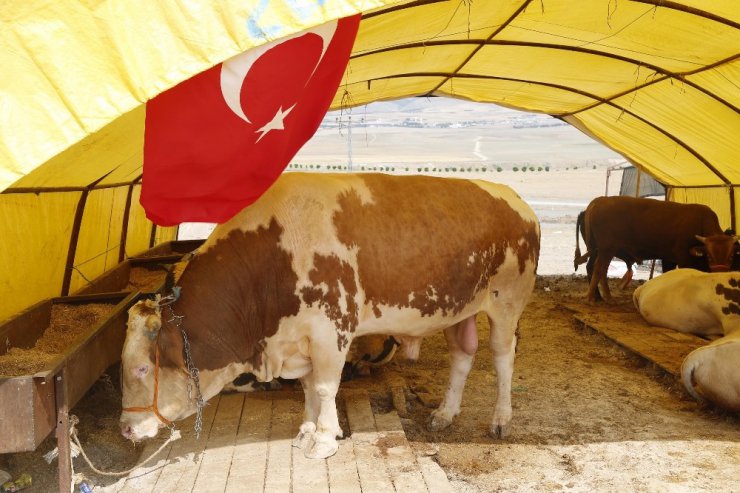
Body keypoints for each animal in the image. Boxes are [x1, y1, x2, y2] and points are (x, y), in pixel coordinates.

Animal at [118, 173, 540, 458]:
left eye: (142, 368)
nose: (125, 429)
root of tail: (517, 199)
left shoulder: (330, 331)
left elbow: (324, 387)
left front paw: (323, 438)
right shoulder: (297, 339)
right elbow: (307, 387)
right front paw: (307, 430)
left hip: (507, 302)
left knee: (502, 357)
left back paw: (501, 419)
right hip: (458, 309)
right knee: (462, 356)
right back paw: (445, 413)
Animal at [576, 194, 736, 302]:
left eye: (731, 256)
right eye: (709, 256)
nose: (721, 275)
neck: (700, 221)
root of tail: (600, 200)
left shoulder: (669, 258)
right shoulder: (683, 258)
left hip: (599, 251)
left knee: (598, 269)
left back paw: (604, 297)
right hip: (606, 250)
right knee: (598, 269)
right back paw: (593, 298)